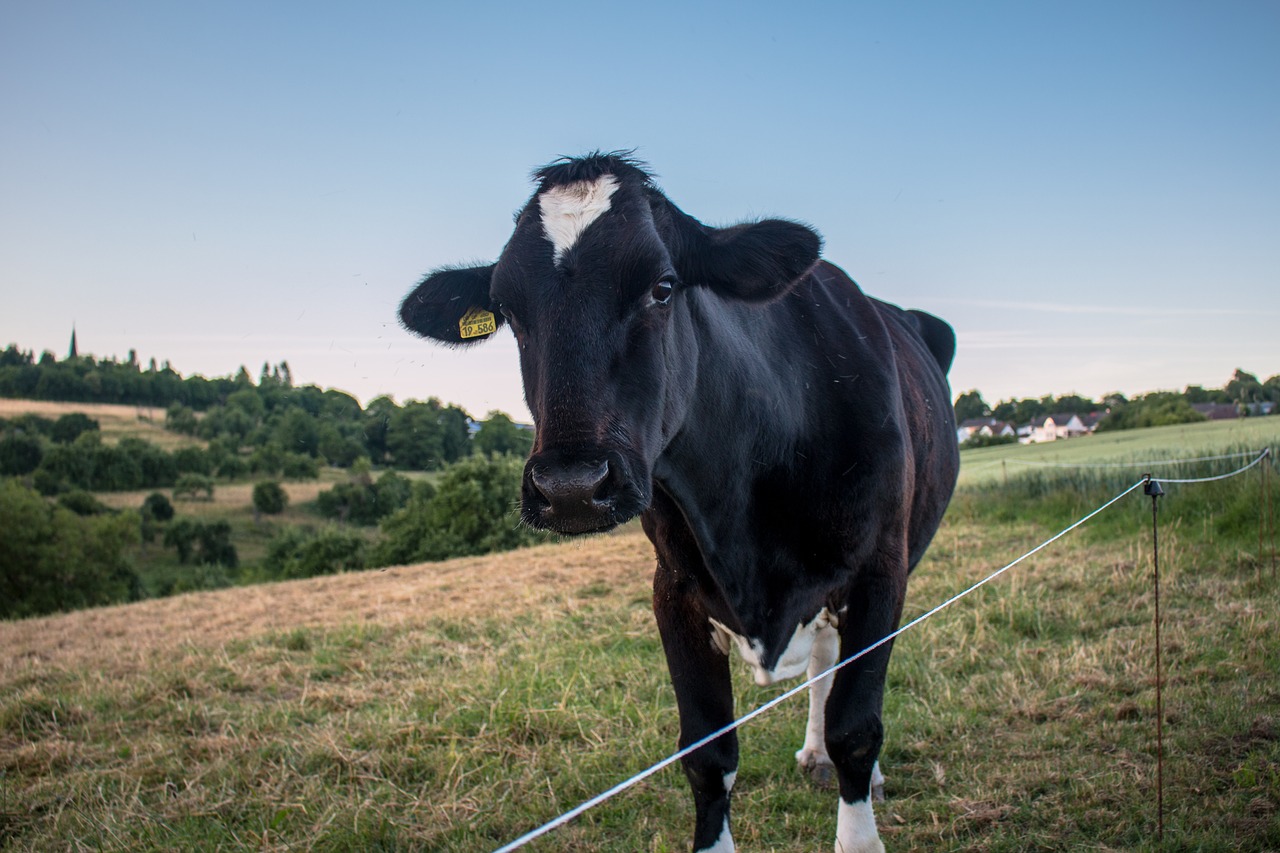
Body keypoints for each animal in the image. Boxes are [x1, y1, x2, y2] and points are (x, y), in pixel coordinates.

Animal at [399, 154, 962, 850]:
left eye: (663, 287)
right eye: (506, 307)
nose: (570, 487)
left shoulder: (881, 568)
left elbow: (855, 728)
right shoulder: (673, 589)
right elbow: (707, 754)